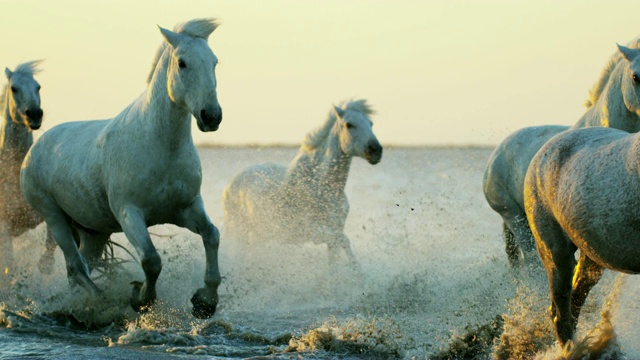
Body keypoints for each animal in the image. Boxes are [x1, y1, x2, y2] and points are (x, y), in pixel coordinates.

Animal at [0, 60, 57, 282]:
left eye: (38, 87)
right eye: (14, 88)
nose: (34, 114)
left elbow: (51, 242)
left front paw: (45, 265)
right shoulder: (4, 226)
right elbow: (9, 262)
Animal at [20, 19, 224, 318]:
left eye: (214, 62)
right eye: (182, 63)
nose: (212, 116)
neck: (161, 146)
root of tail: (35, 149)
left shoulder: (186, 208)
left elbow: (212, 236)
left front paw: (205, 301)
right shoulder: (130, 213)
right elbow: (151, 260)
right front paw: (140, 298)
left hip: (94, 231)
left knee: (82, 266)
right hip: (53, 217)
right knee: (77, 266)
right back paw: (103, 302)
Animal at [222, 100, 382, 268]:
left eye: (371, 124)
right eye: (349, 124)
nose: (376, 151)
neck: (323, 188)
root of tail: (230, 184)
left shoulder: (333, 236)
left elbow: (338, 258)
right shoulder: (310, 232)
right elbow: (343, 239)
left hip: (259, 234)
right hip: (241, 230)